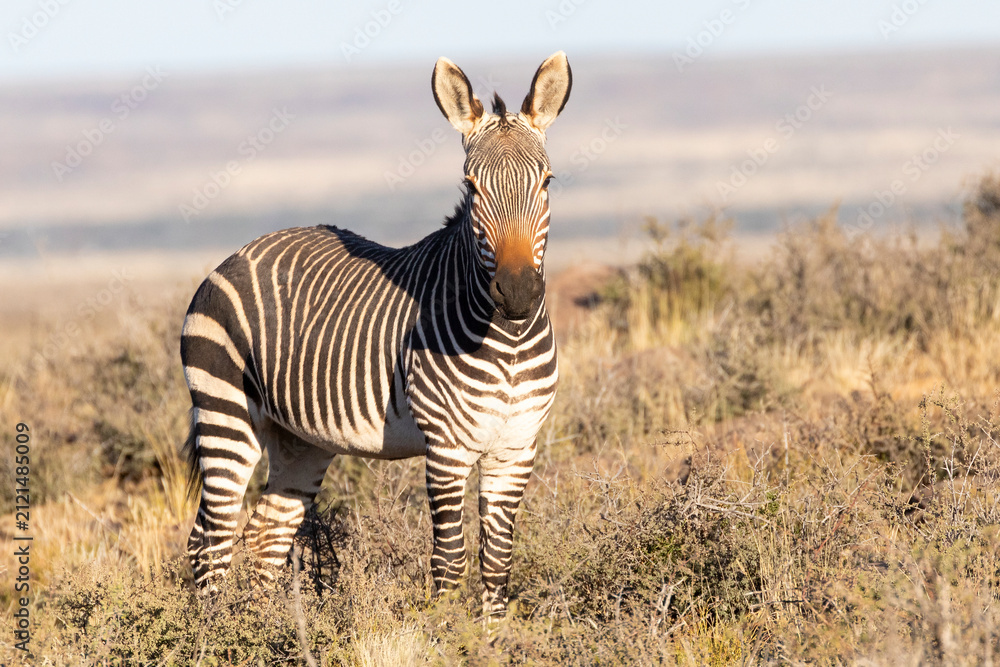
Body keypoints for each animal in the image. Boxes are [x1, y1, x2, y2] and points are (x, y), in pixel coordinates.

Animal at [181, 52, 572, 622]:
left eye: (546, 182)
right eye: (472, 187)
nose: (518, 292)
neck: (510, 344)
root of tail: (241, 251)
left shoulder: (516, 447)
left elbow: (497, 563)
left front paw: (492, 635)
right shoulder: (447, 447)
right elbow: (450, 562)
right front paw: (446, 634)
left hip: (299, 438)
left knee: (264, 535)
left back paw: (263, 630)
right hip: (225, 413)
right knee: (210, 541)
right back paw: (216, 635)